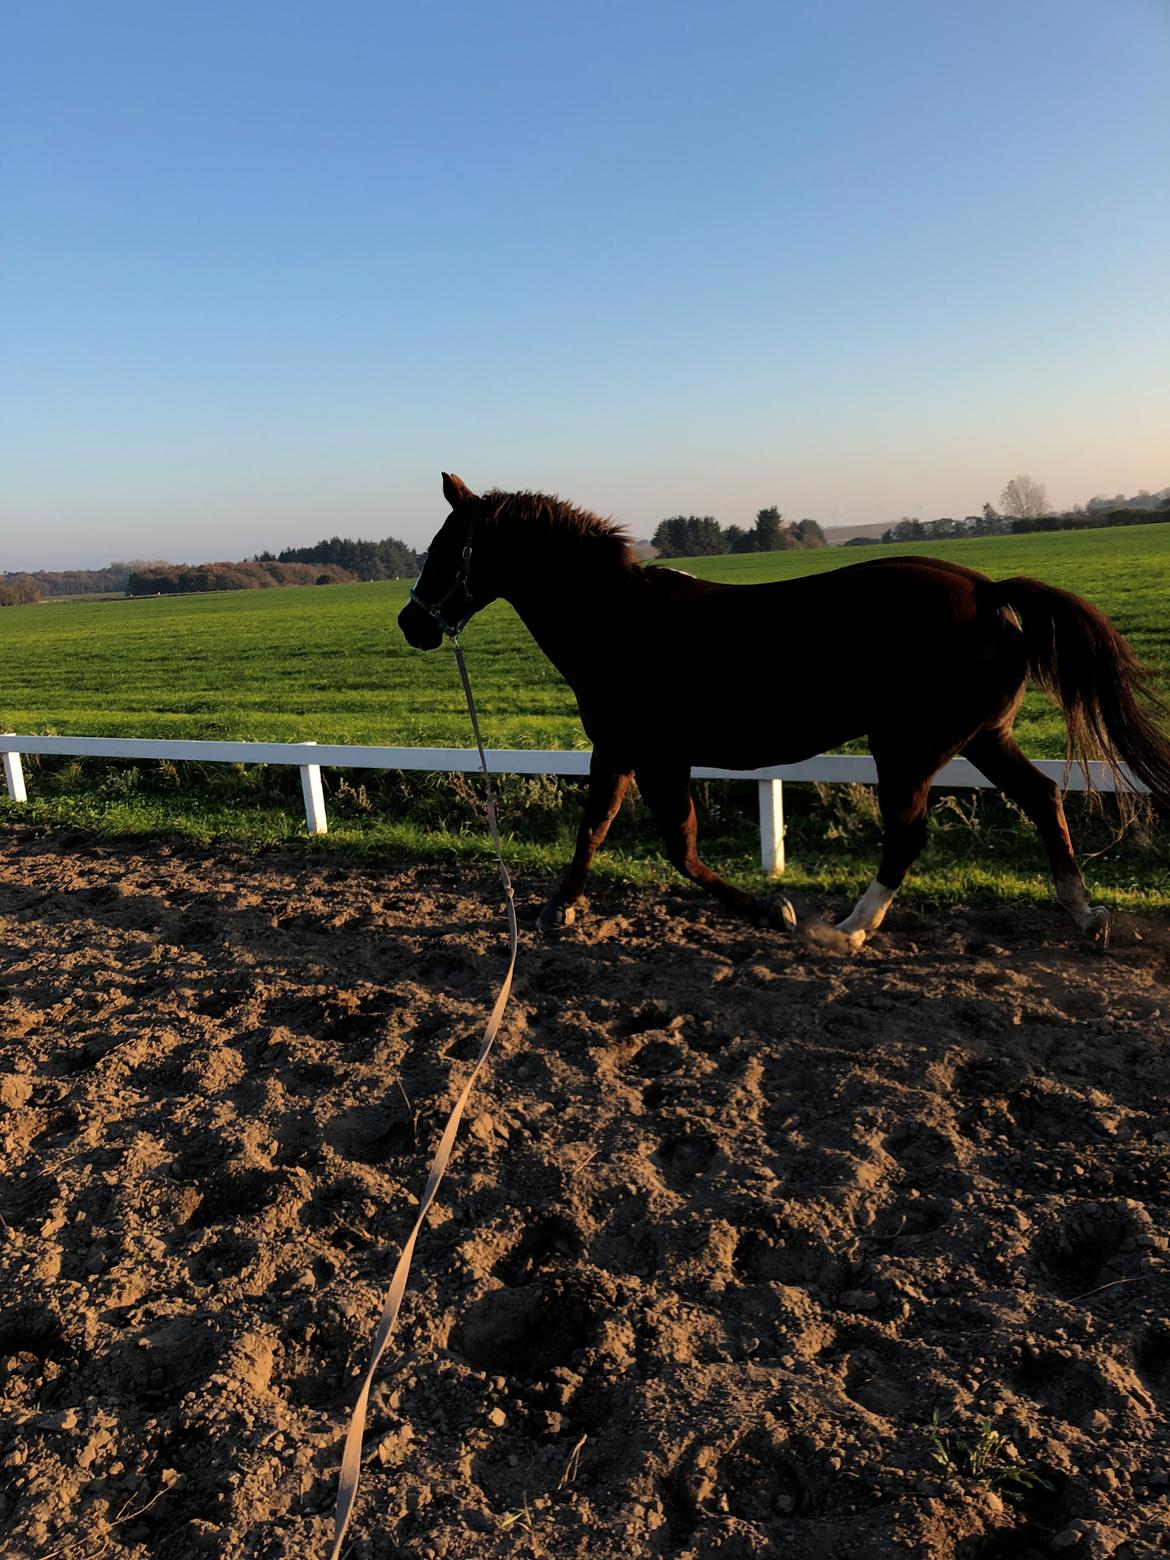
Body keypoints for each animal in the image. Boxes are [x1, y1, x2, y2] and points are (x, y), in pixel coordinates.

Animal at [396, 467, 1170, 942]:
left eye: (442, 549)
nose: (412, 624)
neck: (618, 621)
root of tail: (987, 590)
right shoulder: (621, 749)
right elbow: (595, 830)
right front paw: (560, 908)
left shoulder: (651, 753)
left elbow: (677, 848)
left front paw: (774, 909)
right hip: (980, 737)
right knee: (1043, 797)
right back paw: (1085, 915)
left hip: (909, 747)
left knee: (909, 834)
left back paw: (850, 929)